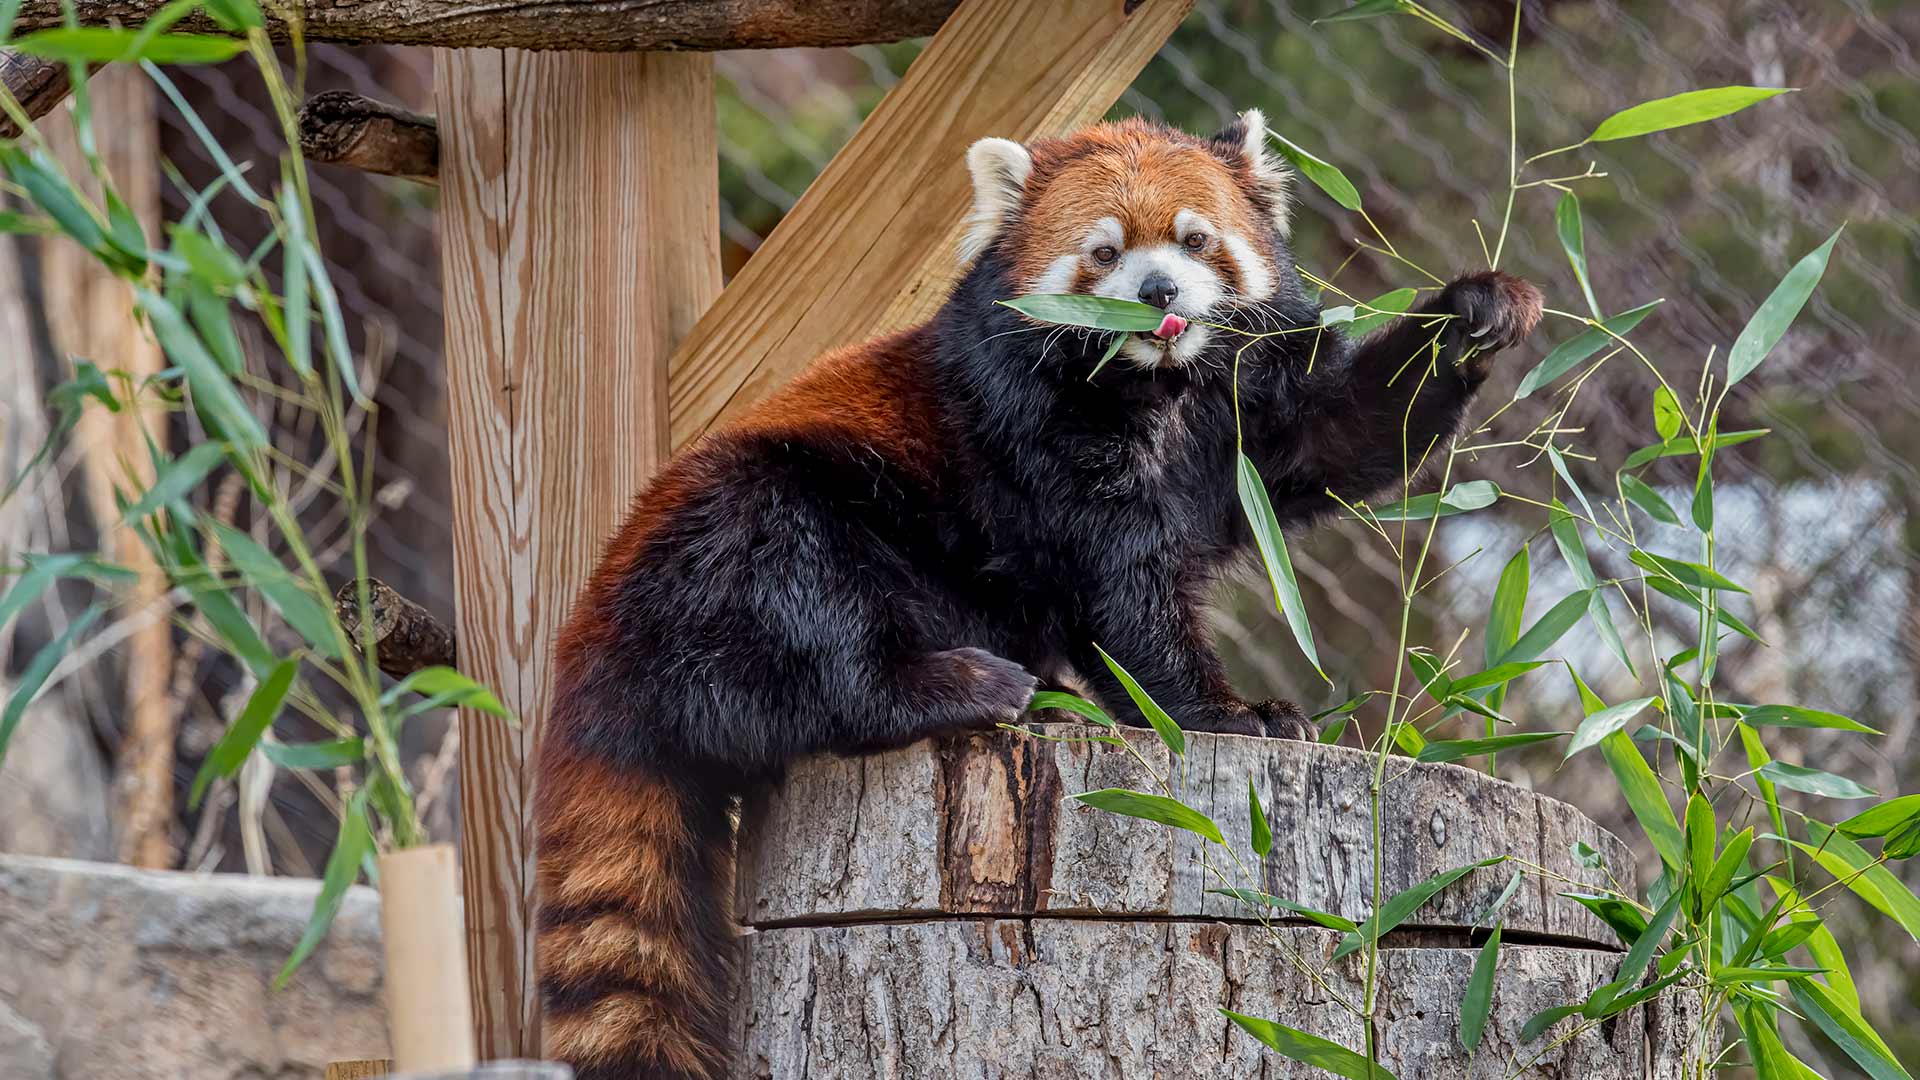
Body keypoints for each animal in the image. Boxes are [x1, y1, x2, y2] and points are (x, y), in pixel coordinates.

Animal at [537, 111, 1543, 1076]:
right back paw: (971, 687)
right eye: (1103, 251)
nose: (1158, 293)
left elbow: (1350, 432)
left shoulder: (1252, 409)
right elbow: (1126, 594)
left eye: (1195, 240)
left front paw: (1473, 314)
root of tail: (588, 650)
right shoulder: (1032, 437)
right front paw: (1229, 712)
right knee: (807, 624)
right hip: (750, 531)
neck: (1158, 389)